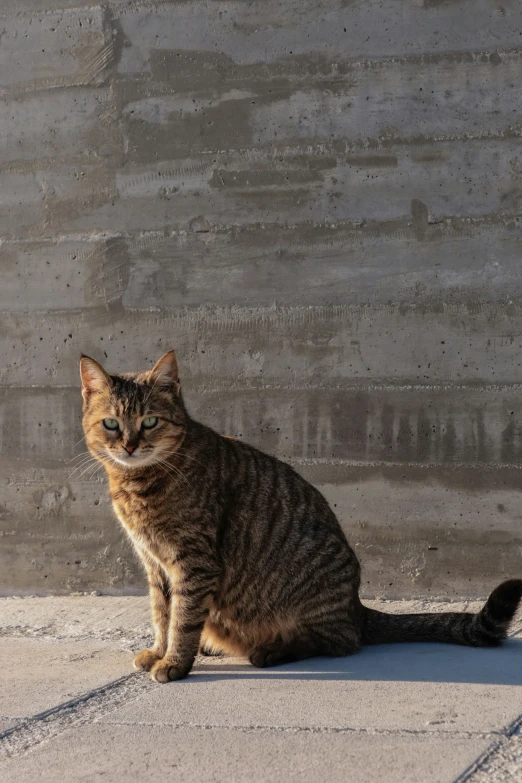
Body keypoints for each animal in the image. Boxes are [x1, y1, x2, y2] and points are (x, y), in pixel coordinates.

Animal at [80, 352, 520, 684]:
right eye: (111, 424)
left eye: (150, 421)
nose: (129, 445)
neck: (138, 484)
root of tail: (356, 606)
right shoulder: (155, 564)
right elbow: (162, 613)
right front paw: (159, 650)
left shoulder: (193, 562)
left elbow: (183, 618)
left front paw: (174, 661)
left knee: (338, 642)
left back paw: (272, 650)